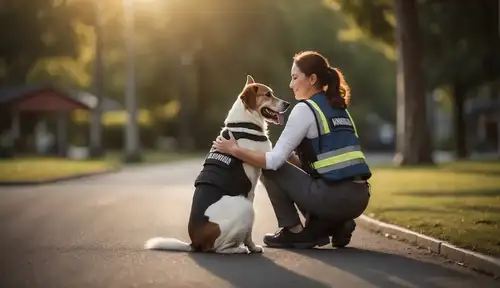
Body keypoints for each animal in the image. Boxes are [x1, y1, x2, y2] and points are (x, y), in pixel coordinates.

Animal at [144, 75, 290, 254]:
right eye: (268, 95)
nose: (287, 104)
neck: (244, 123)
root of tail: (195, 243)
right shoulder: (250, 190)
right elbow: (248, 232)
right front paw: (252, 246)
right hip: (244, 207)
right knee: (218, 248)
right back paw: (237, 249)